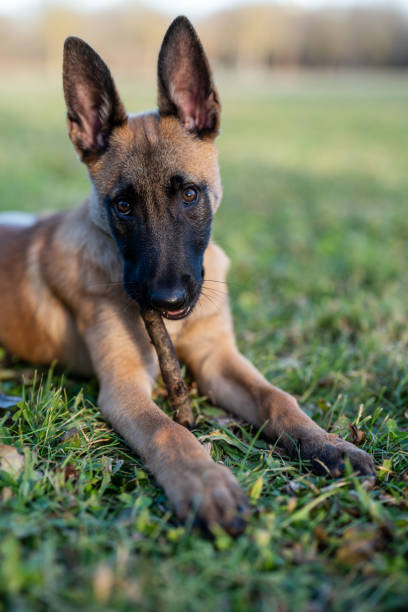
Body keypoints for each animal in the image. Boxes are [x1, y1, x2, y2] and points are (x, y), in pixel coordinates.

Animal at [0, 14, 374, 532]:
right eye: (123, 206)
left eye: (190, 195)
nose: (167, 300)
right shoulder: (124, 390)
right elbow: (169, 432)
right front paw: (204, 483)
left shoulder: (219, 360)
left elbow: (277, 398)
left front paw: (328, 445)